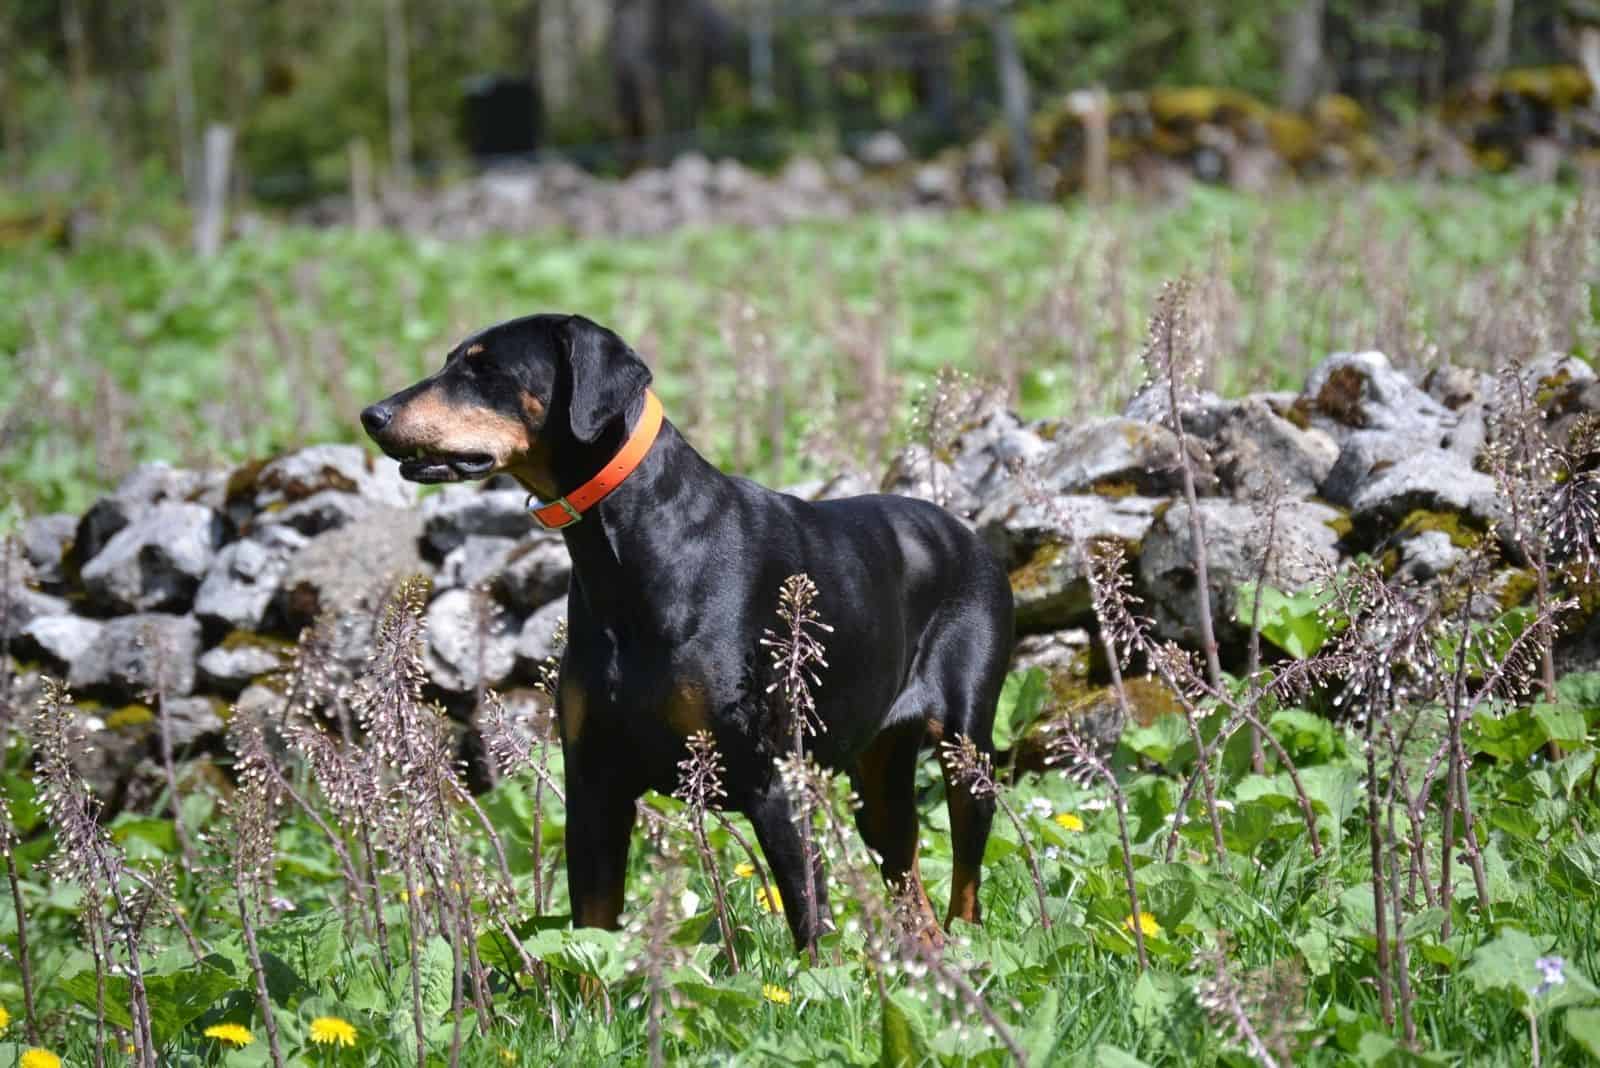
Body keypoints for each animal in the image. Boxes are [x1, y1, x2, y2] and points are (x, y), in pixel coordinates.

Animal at [363, 313, 1011, 946]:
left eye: (485, 369)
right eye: (450, 360)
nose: (373, 416)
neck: (630, 554)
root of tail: (968, 534)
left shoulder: (776, 786)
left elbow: (811, 932)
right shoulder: (595, 788)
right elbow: (591, 934)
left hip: (966, 753)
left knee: (967, 889)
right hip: (879, 782)